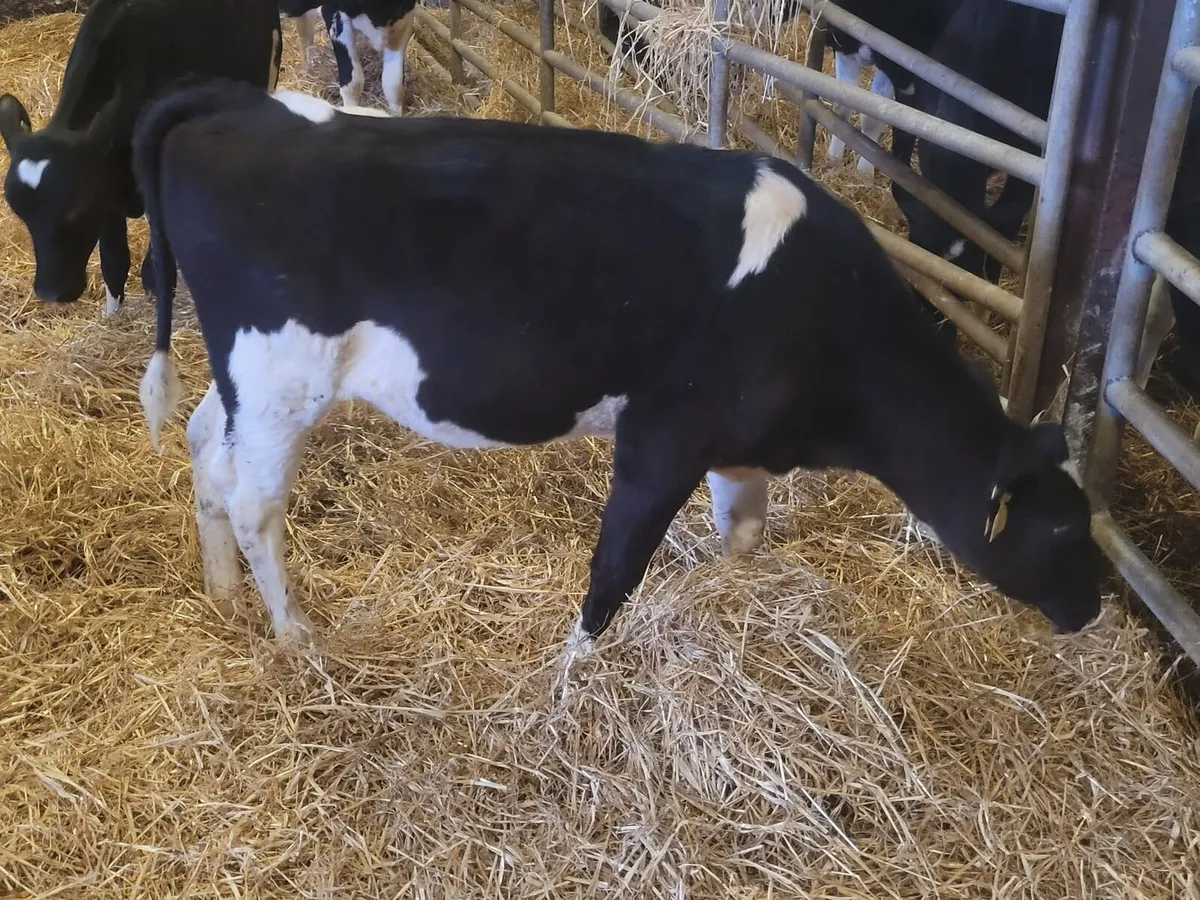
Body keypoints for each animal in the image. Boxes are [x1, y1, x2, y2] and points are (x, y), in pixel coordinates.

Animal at [0, 0, 283, 316]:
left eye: (77, 208)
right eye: (20, 213)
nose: (50, 292)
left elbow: (158, 266)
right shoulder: (105, 188)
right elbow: (113, 258)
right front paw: (112, 316)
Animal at [131, 79, 1105, 649]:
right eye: (1061, 532)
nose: (1093, 608)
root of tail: (234, 104)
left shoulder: (735, 445)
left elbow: (740, 538)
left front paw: (723, 603)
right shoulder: (662, 439)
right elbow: (613, 574)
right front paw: (573, 681)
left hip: (247, 378)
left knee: (205, 445)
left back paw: (223, 596)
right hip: (280, 376)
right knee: (254, 500)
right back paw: (298, 636)